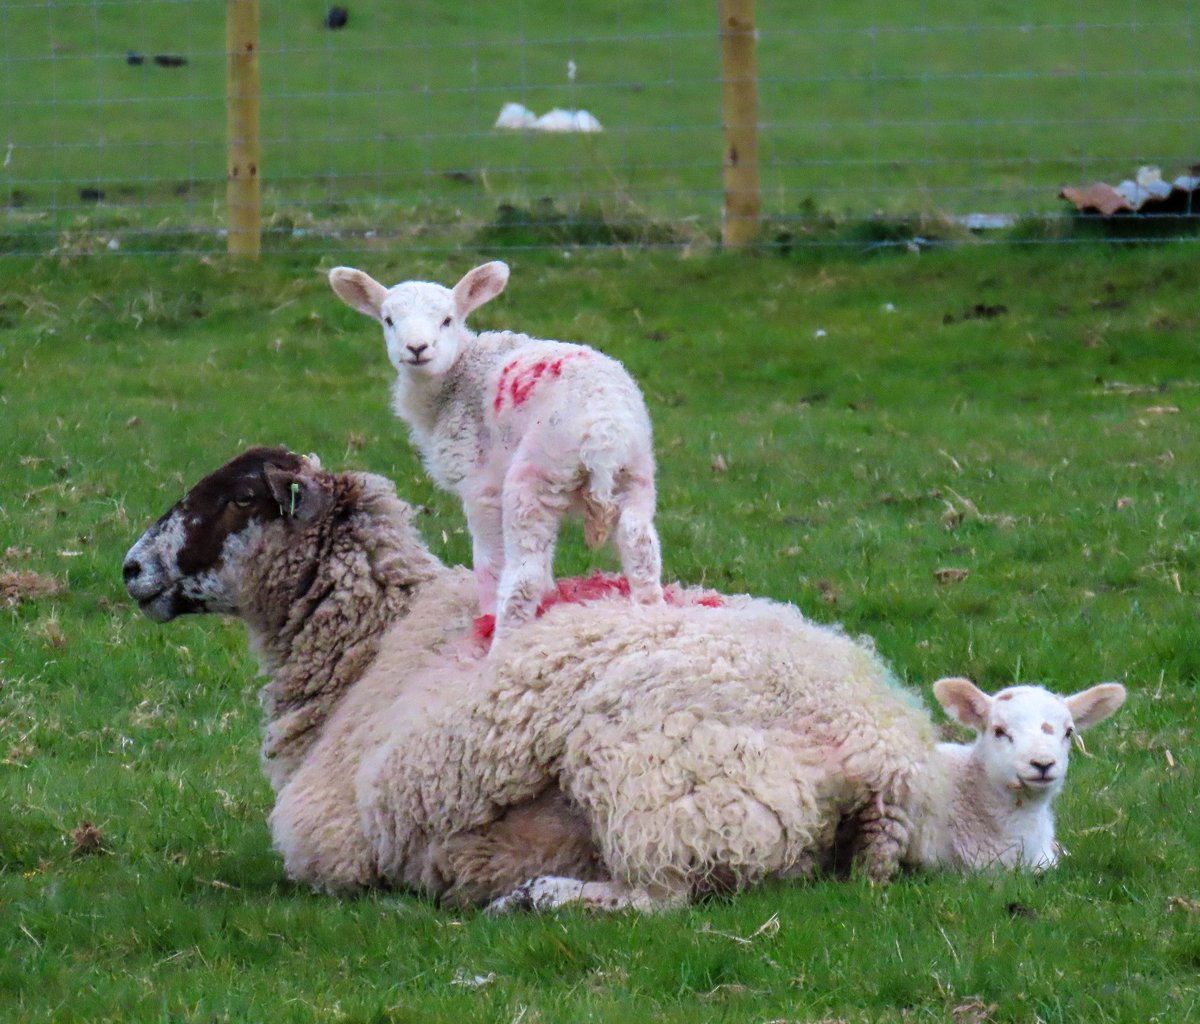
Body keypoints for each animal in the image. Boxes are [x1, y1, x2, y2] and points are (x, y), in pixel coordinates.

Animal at [123, 448, 1127, 913]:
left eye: (235, 498)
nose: (131, 569)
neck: (376, 645)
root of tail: (883, 760)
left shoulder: (328, 845)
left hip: (654, 777)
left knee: (663, 897)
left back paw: (538, 897)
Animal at [327, 260, 663, 639]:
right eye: (388, 321)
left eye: (448, 320)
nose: (417, 348)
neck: (456, 377)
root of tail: (603, 435)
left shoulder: (480, 483)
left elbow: (488, 562)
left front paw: (486, 614)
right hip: (635, 471)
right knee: (641, 549)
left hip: (536, 474)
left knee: (523, 577)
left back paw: (501, 641)